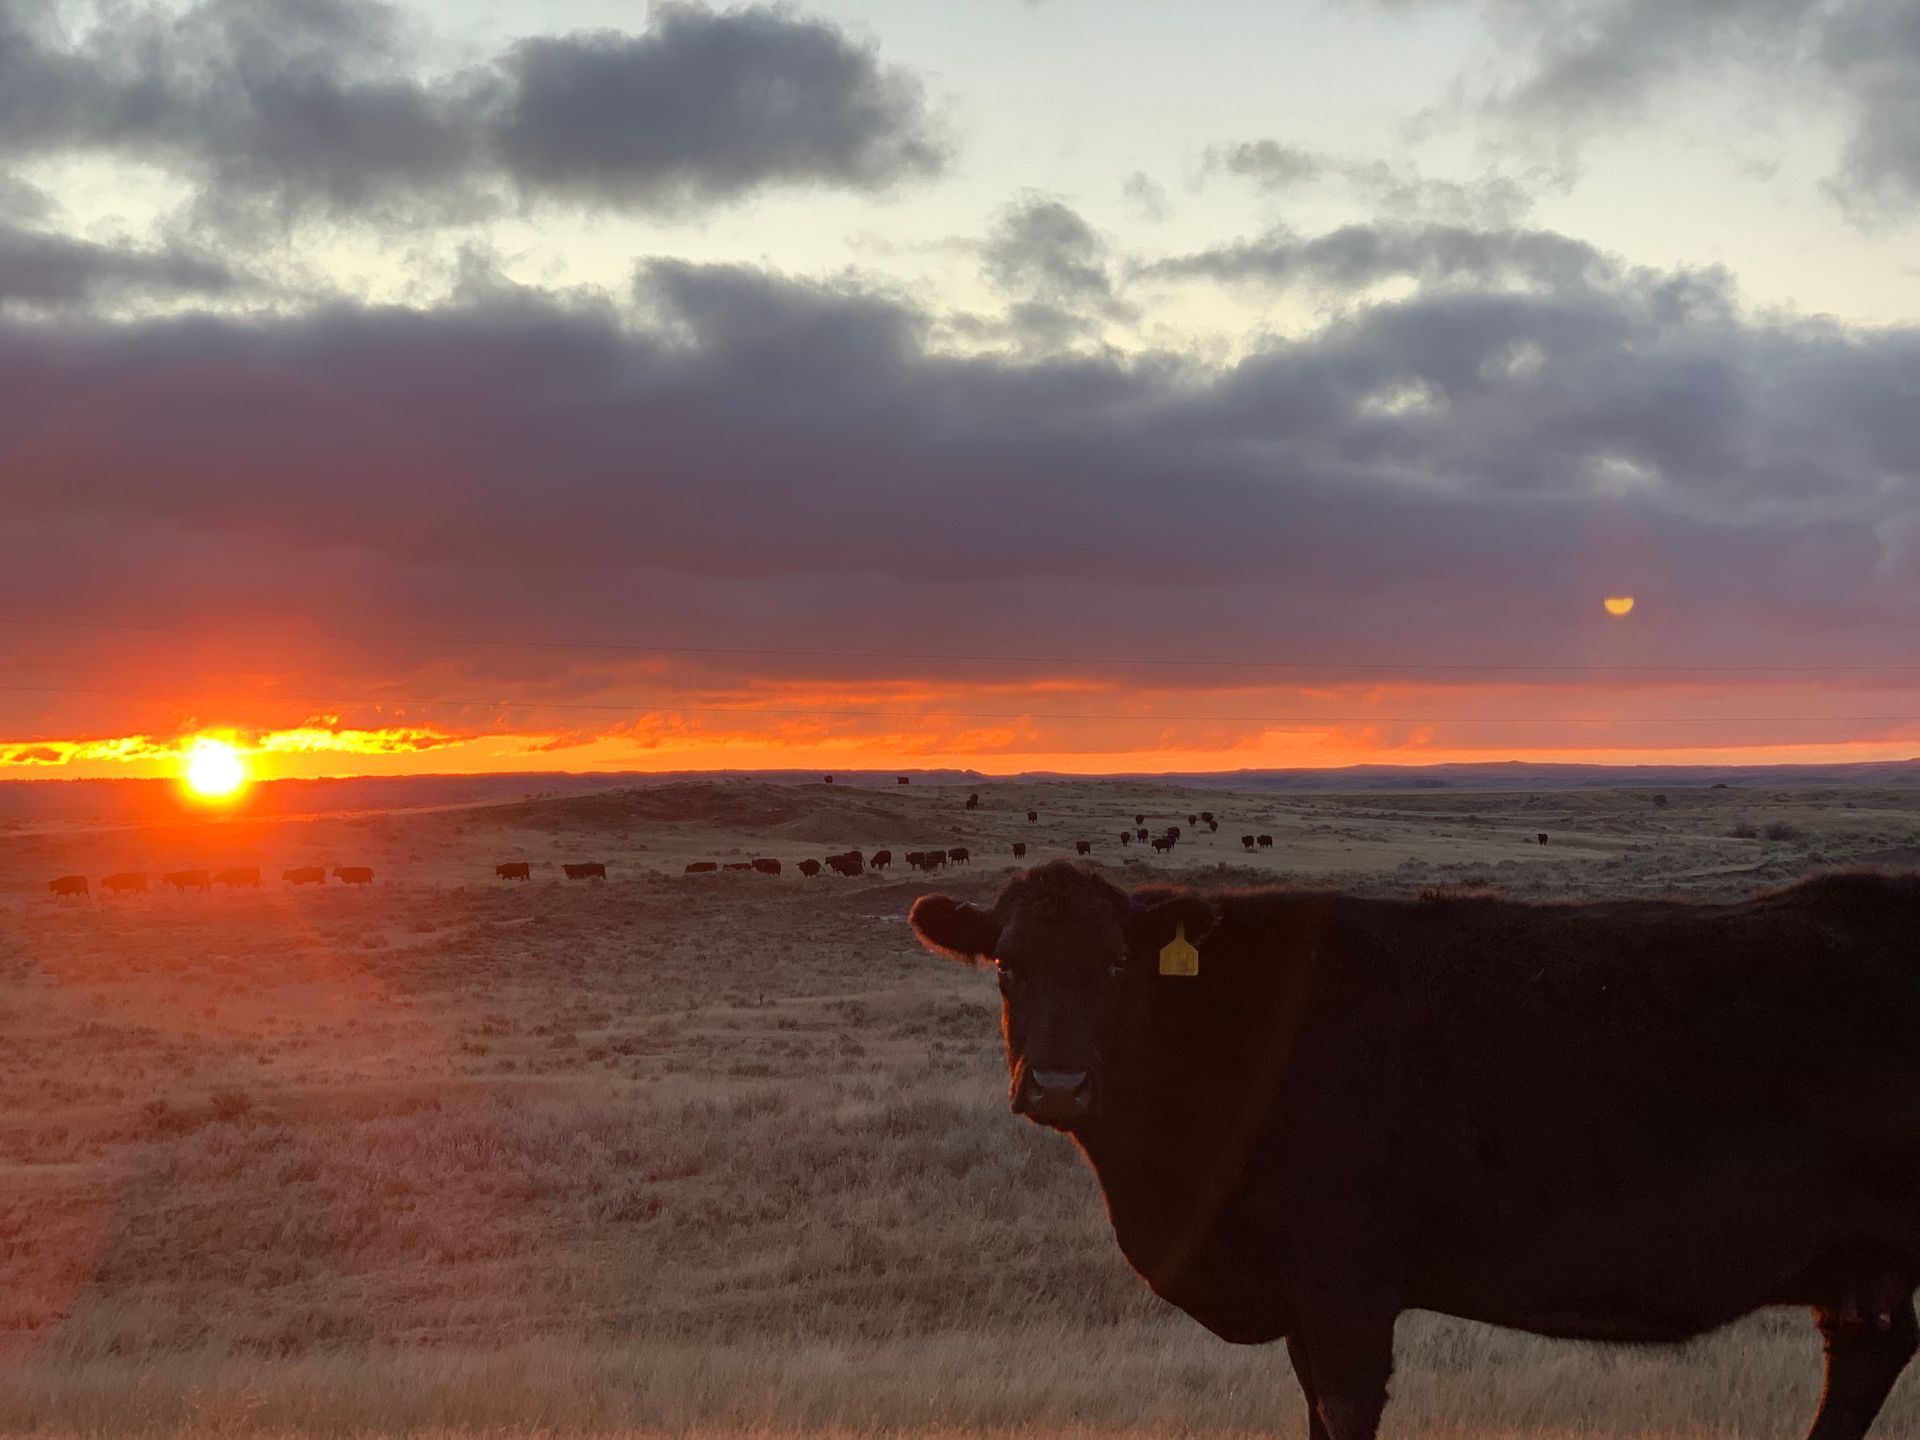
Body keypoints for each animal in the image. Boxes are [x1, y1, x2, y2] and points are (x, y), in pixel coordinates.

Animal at [908, 861, 1920, 1440]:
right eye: (1007, 967)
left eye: (1117, 965)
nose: (1057, 1085)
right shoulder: (1301, 1299)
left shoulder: (1344, 1279)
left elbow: (1345, 1408)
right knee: (1864, 1355)